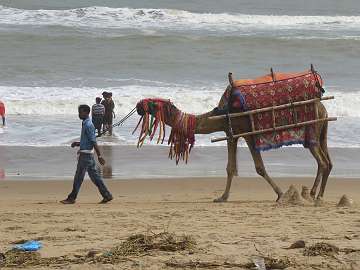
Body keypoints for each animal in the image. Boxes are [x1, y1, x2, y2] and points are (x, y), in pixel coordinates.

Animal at [134, 74, 332, 202]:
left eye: (152, 104)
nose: (138, 106)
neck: (222, 114)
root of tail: (323, 108)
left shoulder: (247, 133)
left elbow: (259, 167)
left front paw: (280, 194)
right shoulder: (231, 134)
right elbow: (230, 168)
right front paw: (222, 197)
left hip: (311, 132)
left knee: (322, 162)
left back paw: (314, 195)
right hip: (321, 131)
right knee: (328, 162)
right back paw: (320, 195)